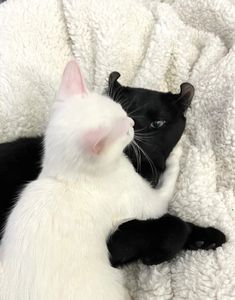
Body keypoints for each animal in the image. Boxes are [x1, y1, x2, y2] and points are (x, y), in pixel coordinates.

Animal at [0, 59, 182, 298]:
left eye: (122, 111)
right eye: (124, 129)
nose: (131, 123)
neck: (66, 177)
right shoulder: (145, 201)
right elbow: (165, 191)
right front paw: (177, 155)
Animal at [0, 72, 225, 268]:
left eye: (157, 123)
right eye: (125, 112)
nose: (133, 130)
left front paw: (208, 236)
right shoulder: (115, 241)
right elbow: (173, 223)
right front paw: (158, 255)